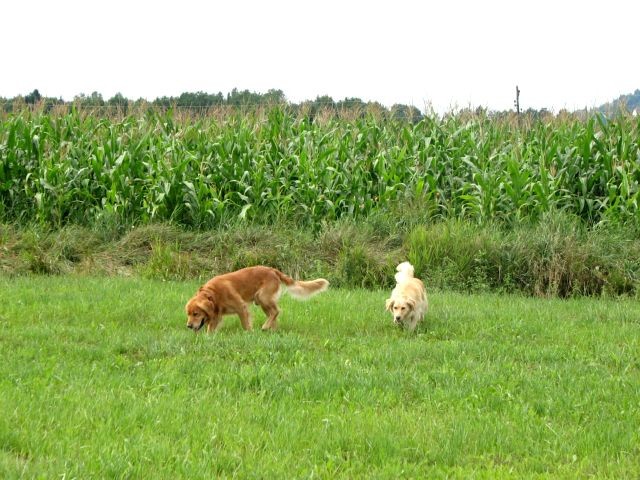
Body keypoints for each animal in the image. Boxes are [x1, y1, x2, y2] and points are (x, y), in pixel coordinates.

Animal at [184, 264, 324, 332]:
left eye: (196, 314)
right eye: (188, 314)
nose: (189, 326)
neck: (213, 294)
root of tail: (273, 270)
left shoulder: (241, 307)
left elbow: (245, 324)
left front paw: (249, 333)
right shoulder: (216, 315)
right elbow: (210, 329)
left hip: (262, 297)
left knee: (276, 311)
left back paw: (265, 327)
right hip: (262, 302)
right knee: (273, 315)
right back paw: (272, 330)